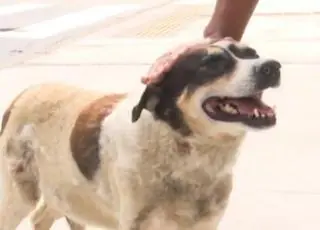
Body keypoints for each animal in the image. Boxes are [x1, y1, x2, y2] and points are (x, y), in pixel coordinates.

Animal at [0, 38, 280, 229]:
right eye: (212, 64)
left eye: (253, 54)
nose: (272, 66)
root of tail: (23, 93)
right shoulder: (137, 222)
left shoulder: (206, 223)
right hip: (19, 195)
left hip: (66, 192)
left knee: (42, 216)